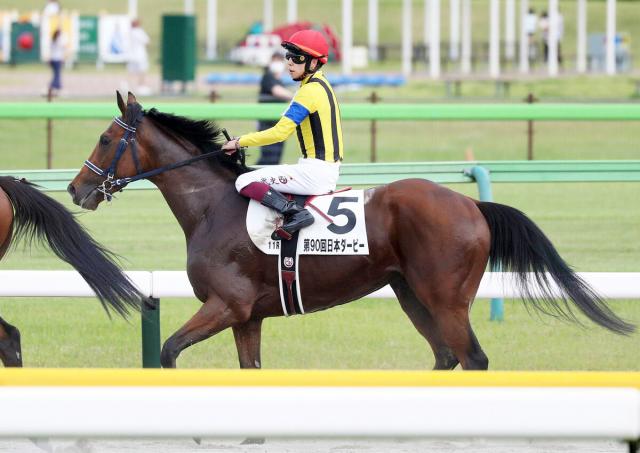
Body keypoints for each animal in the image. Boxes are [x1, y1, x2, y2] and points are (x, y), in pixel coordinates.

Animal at [67, 91, 632, 368]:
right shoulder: (248, 317)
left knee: (472, 358)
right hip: (411, 295)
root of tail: (470, 203)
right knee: (447, 357)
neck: (213, 208)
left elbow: (166, 352)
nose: (76, 189)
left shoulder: (226, 305)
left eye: (104, 139)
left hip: (446, 299)